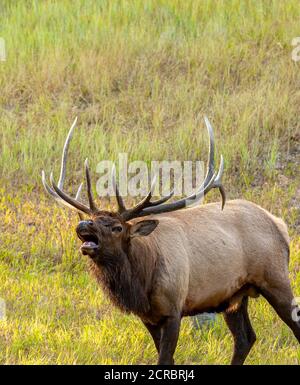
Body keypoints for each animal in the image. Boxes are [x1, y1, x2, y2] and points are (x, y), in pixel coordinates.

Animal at [41, 116, 298, 364]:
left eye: (117, 227)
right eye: (93, 218)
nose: (83, 225)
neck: (142, 281)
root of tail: (280, 224)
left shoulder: (174, 309)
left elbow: (165, 358)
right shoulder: (149, 317)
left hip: (275, 277)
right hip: (234, 296)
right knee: (245, 338)